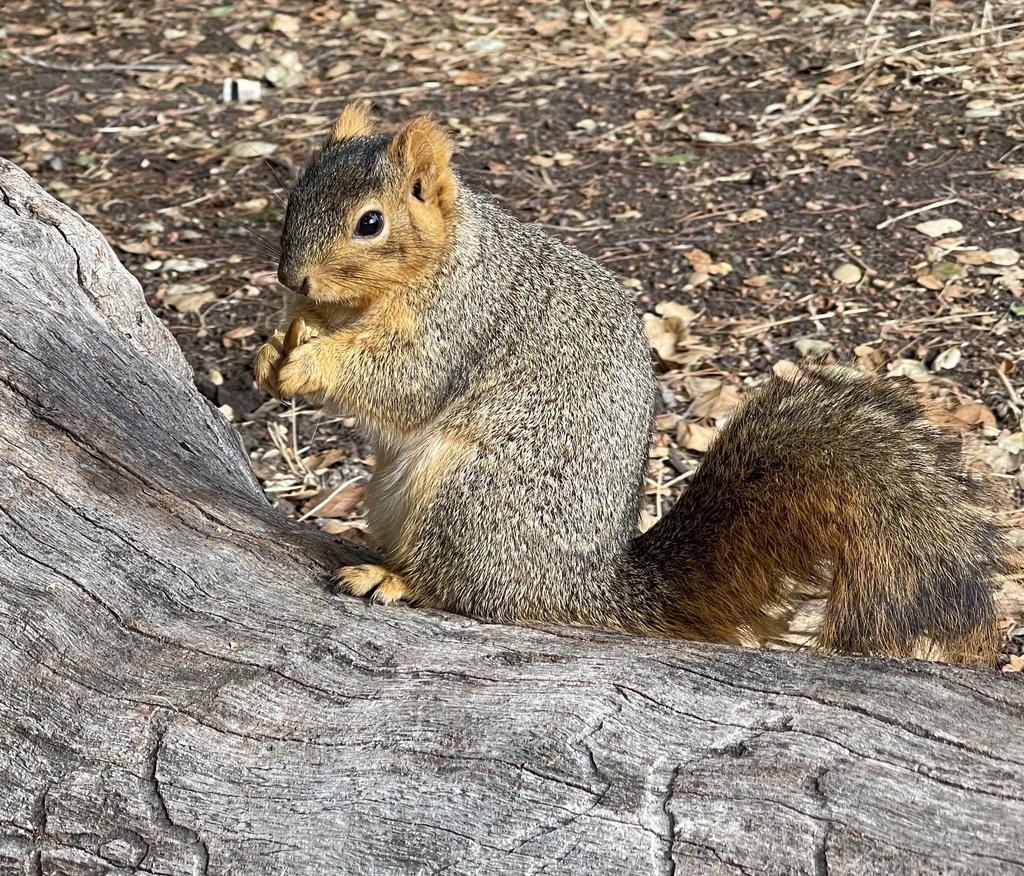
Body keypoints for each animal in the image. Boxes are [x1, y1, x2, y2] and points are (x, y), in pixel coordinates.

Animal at [256, 100, 1007, 663]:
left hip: (469, 498)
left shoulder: (460, 320)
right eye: (291, 199)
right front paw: (270, 354)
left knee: (473, 593)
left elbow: (404, 379)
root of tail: (583, 585)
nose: (292, 280)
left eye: (371, 222)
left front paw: (307, 362)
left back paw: (394, 579)